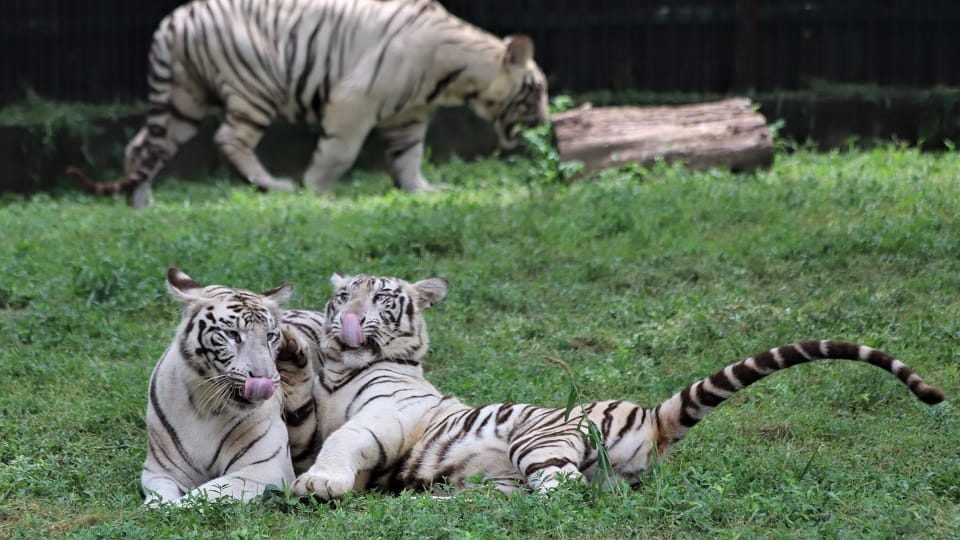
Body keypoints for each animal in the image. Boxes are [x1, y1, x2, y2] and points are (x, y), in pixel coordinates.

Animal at [66, 0, 549, 208]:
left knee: (144, 145)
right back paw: (274, 185)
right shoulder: (355, 99)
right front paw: (317, 190)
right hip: (255, 84)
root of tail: (173, 19)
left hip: (184, 98)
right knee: (230, 138)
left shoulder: (409, 115)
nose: (546, 120)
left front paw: (422, 191)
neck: (456, 76)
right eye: (537, 91)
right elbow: (339, 152)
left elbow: (408, 158)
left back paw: (140, 201)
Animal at [141, 267, 296, 505]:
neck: (206, 406)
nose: (266, 379)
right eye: (232, 334)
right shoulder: (160, 471)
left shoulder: (265, 468)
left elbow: (202, 495)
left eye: (270, 336)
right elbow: (160, 497)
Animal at [280, 273, 945, 499]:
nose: (349, 319)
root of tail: (650, 417)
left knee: (566, 495)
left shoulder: (388, 413)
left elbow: (344, 440)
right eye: (344, 294)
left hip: (539, 442)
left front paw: (320, 482)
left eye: (382, 299)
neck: (342, 368)